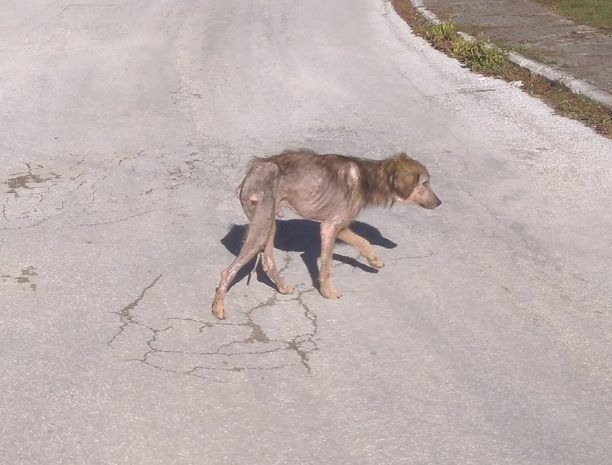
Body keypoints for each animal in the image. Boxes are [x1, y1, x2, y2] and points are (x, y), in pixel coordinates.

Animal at [212, 149, 440, 320]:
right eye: (424, 183)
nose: (439, 203)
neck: (368, 177)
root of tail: (252, 172)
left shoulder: (340, 225)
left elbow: (363, 241)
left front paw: (374, 259)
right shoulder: (329, 227)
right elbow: (328, 266)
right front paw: (328, 292)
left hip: (269, 223)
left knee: (267, 262)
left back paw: (282, 286)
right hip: (261, 226)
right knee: (228, 271)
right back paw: (218, 307)